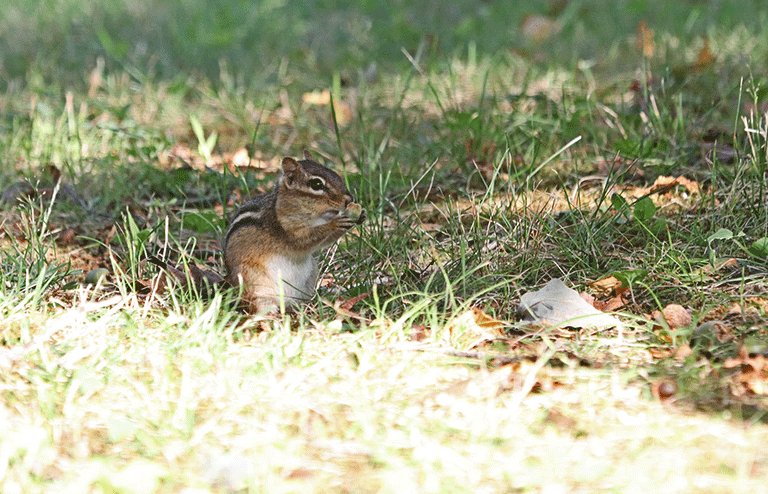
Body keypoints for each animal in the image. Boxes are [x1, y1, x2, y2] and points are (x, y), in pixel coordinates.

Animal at [222, 150, 364, 313]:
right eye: (316, 184)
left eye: (335, 174)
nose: (349, 199)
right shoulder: (287, 230)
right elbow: (304, 239)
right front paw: (334, 224)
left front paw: (360, 216)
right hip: (255, 283)